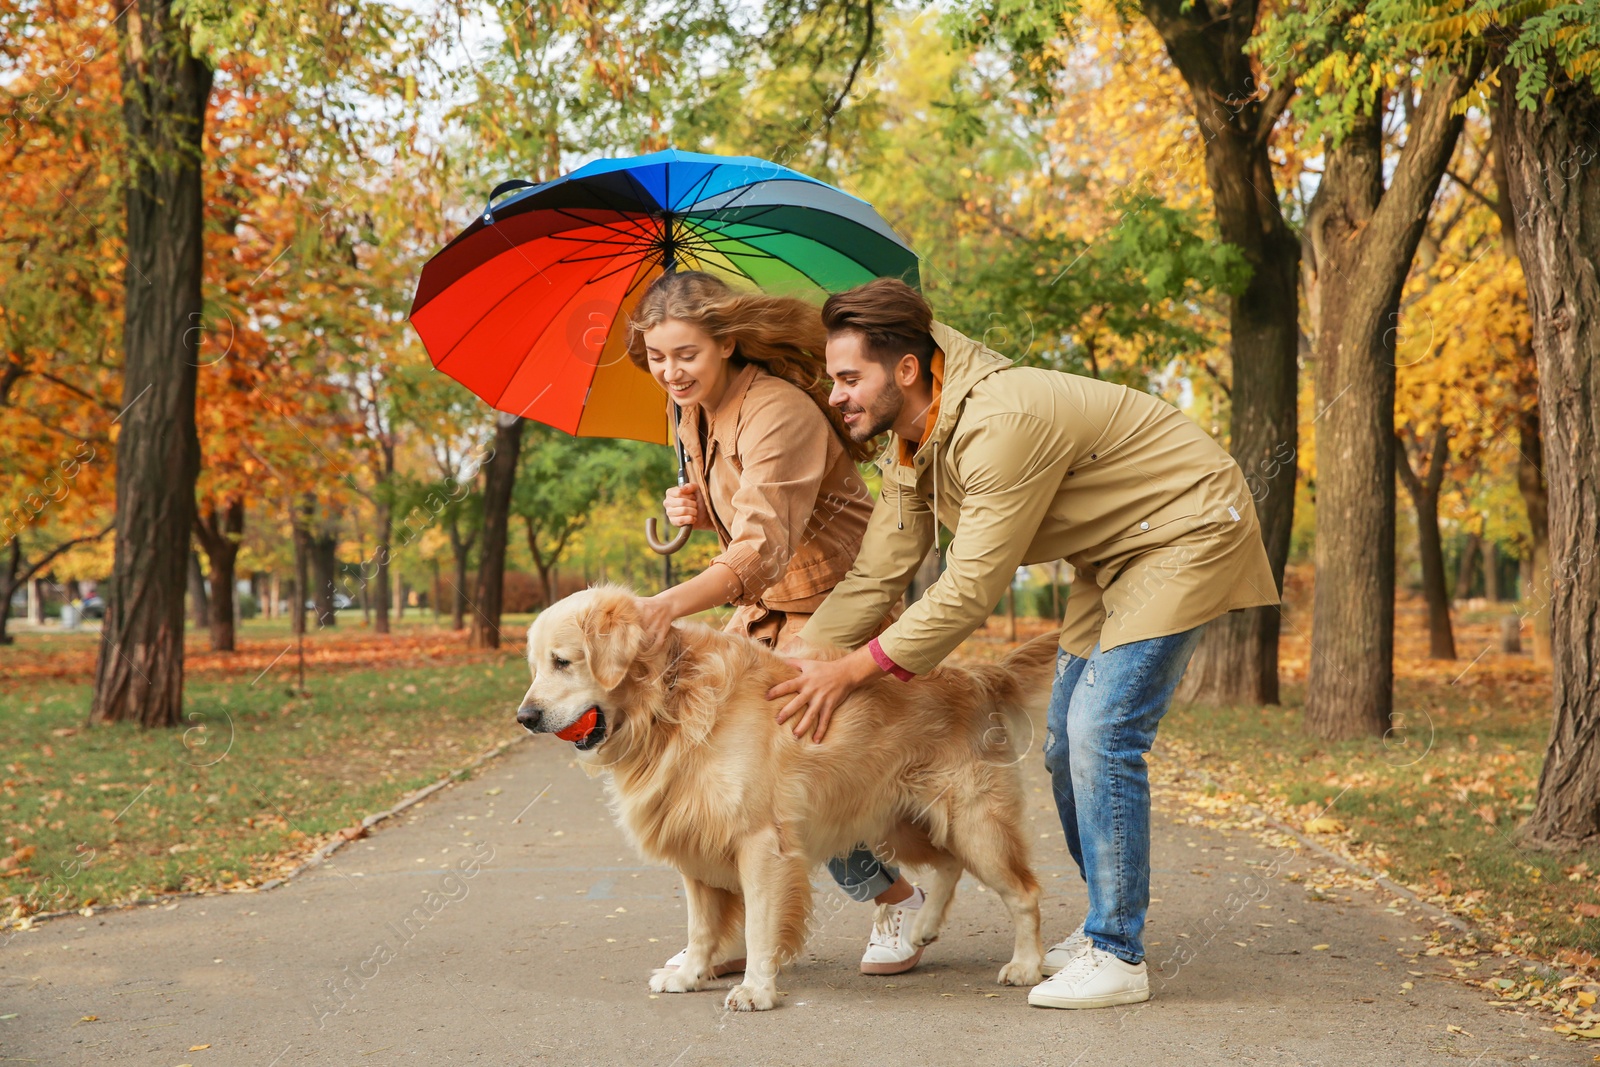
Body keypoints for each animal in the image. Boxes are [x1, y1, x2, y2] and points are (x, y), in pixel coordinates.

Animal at [518, 588, 1056, 1017]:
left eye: (562, 661)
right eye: (536, 666)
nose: (525, 717)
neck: (671, 703)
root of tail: (979, 676)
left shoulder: (760, 843)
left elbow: (759, 924)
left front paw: (756, 988)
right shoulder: (693, 834)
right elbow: (699, 926)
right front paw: (690, 974)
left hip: (974, 823)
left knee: (1024, 891)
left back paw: (1026, 964)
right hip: (897, 820)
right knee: (947, 864)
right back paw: (922, 927)